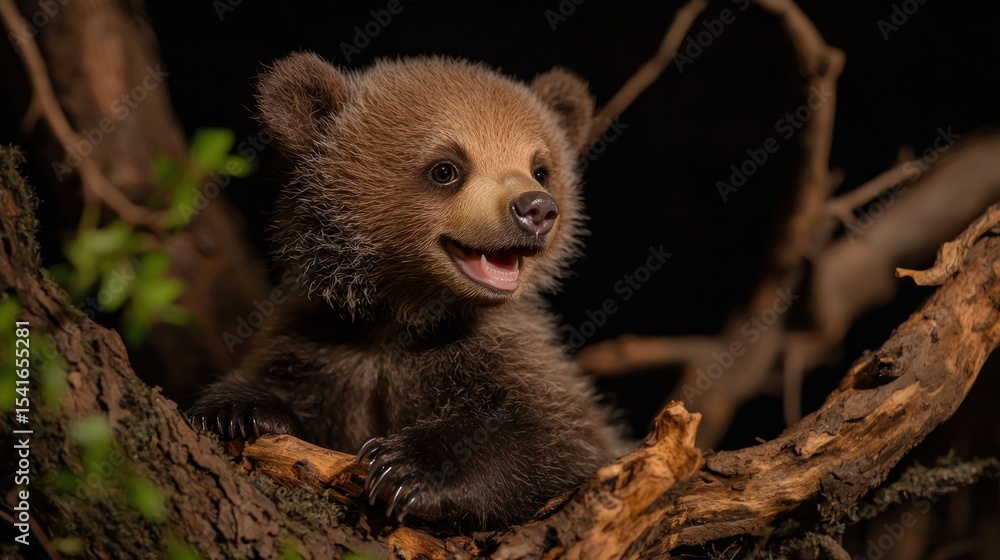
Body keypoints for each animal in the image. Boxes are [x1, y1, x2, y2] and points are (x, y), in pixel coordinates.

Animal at [188, 52, 626, 530]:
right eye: (446, 168)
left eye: (540, 168)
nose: (537, 209)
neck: (402, 316)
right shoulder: (325, 346)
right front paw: (240, 411)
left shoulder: (497, 353)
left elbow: (560, 439)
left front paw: (407, 468)